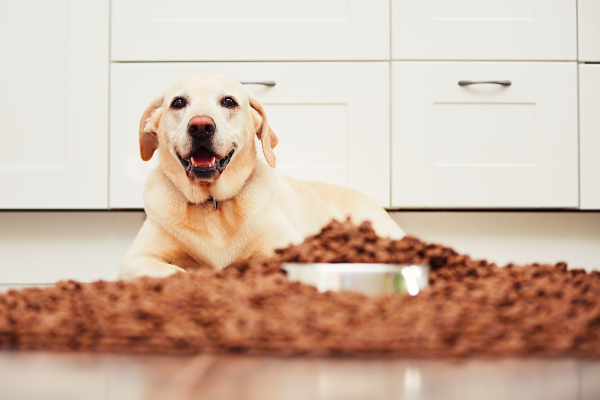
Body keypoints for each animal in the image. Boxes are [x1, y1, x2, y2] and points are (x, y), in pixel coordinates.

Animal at [118, 76, 404, 282]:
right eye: (178, 103)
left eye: (229, 102)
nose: (200, 126)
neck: (213, 204)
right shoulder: (136, 259)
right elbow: (174, 271)